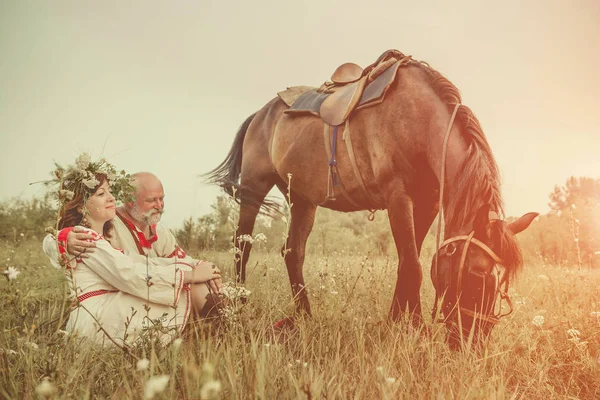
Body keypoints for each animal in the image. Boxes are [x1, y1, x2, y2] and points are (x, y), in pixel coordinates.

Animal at [207, 49, 540, 344]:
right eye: (477, 273)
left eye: (503, 282)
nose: (473, 342)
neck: (418, 120)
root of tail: (261, 114)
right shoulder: (398, 197)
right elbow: (413, 266)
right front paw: (416, 328)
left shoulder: (427, 203)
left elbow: (406, 263)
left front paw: (395, 321)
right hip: (254, 189)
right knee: (242, 246)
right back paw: (240, 307)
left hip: (302, 199)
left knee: (293, 252)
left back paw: (304, 316)